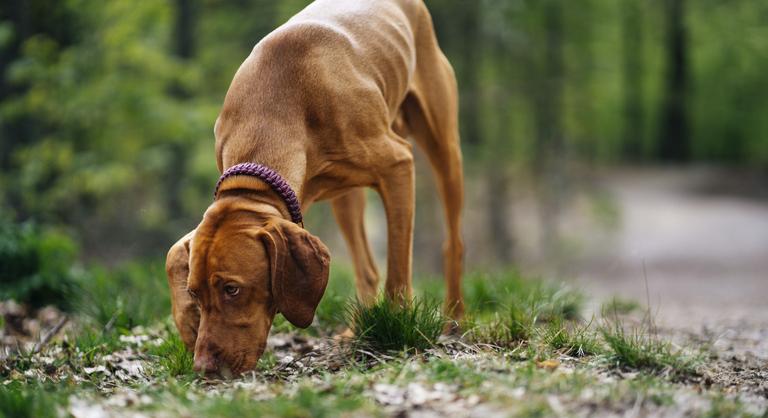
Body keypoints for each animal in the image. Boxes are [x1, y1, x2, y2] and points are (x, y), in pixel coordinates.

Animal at [166, 0, 464, 374]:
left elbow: (398, 268)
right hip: (345, 197)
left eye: (232, 289)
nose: (204, 368)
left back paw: (454, 318)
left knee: (453, 241)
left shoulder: (398, 165)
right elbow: (173, 252)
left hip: (444, 146)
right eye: (194, 293)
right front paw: (188, 325)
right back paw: (356, 330)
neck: (272, 112)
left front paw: (398, 327)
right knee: (367, 268)